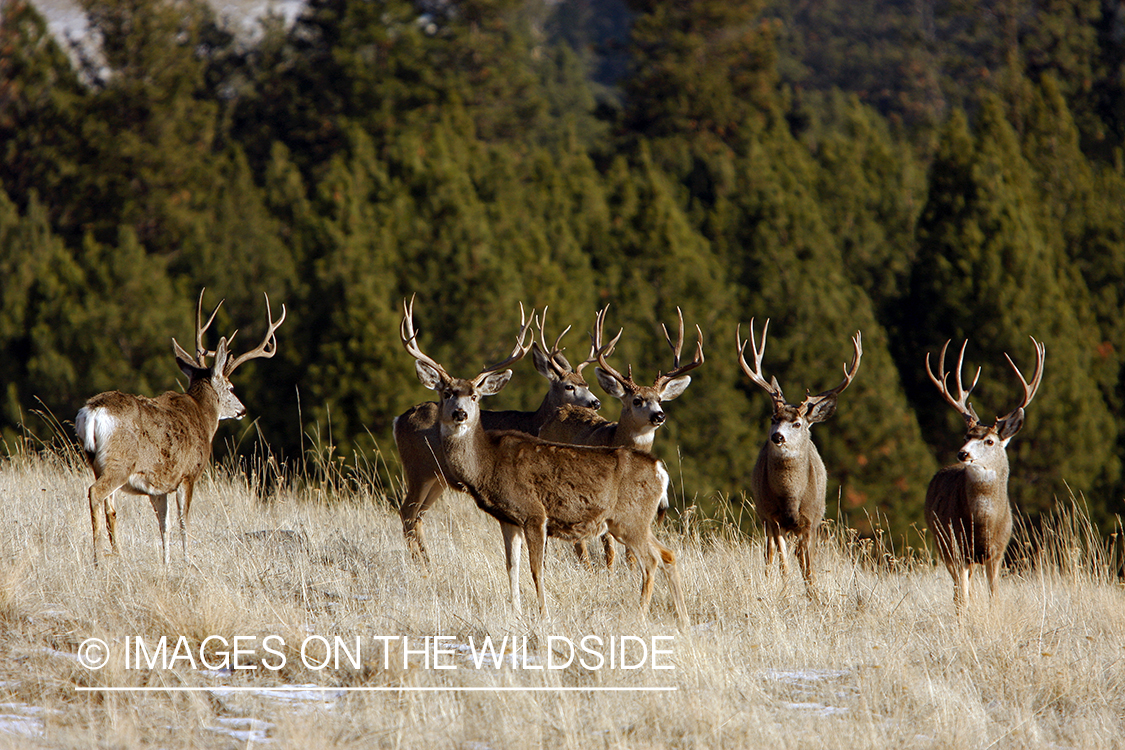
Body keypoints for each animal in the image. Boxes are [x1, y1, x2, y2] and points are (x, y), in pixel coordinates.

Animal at [75, 289, 286, 565]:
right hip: (120, 462)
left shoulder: (159, 486)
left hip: (96, 463)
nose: (242, 410)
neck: (203, 417)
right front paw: (188, 561)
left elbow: (164, 526)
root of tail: (91, 411)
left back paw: (117, 554)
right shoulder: (188, 475)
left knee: (111, 508)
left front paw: (166, 563)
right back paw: (98, 557)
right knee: (95, 493)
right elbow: (184, 522)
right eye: (231, 387)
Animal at [393, 308, 611, 562]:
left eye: (586, 384)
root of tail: (399, 419)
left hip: (437, 478)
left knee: (417, 515)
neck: (534, 422)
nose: (596, 403)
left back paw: (426, 560)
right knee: (407, 511)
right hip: (418, 469)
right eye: (569, 386)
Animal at [539, 305, 704, 567]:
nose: (659, 415)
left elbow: (630, 551)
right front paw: (609, 571)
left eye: (660, 399)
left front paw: (631, 569)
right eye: (637, 400)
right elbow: (609, 548)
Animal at [737, 319, 862, 588]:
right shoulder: (772, 517)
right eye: (773, 418)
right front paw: (784, 590)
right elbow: (783, 564)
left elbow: (809, 569)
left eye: (797, 424)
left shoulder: (811, 520)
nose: (777, 437)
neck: (791, 497)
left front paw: (812, 594)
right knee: (770, 555)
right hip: (764, 517)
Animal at [923, 337, 1045, 612]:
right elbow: (962, 598)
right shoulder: (957, 548)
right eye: (965, 436)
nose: (962, 454)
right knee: (958, 591)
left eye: (989, 441)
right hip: (943, 543)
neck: (983, 524)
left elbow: (994, 597)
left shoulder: (997, 552)